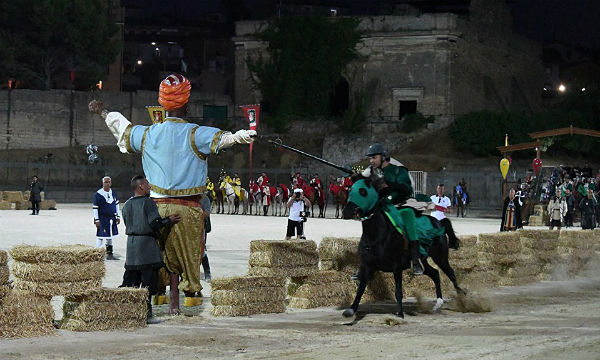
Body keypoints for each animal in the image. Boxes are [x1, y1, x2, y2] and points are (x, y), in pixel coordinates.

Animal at [342, 180, 464, 318]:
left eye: (363, 191)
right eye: (350, 190)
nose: (347, 211)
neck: (377, 235)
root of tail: (439, 222)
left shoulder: (397, 266)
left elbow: (398, 291)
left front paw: (400, 313)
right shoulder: (368, 266)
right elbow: (360, 290)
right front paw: (351, 309)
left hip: (440, 257)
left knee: (451, 274)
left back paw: (462, 299)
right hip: (423, 262)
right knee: (435, 274)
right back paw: (438, 304)